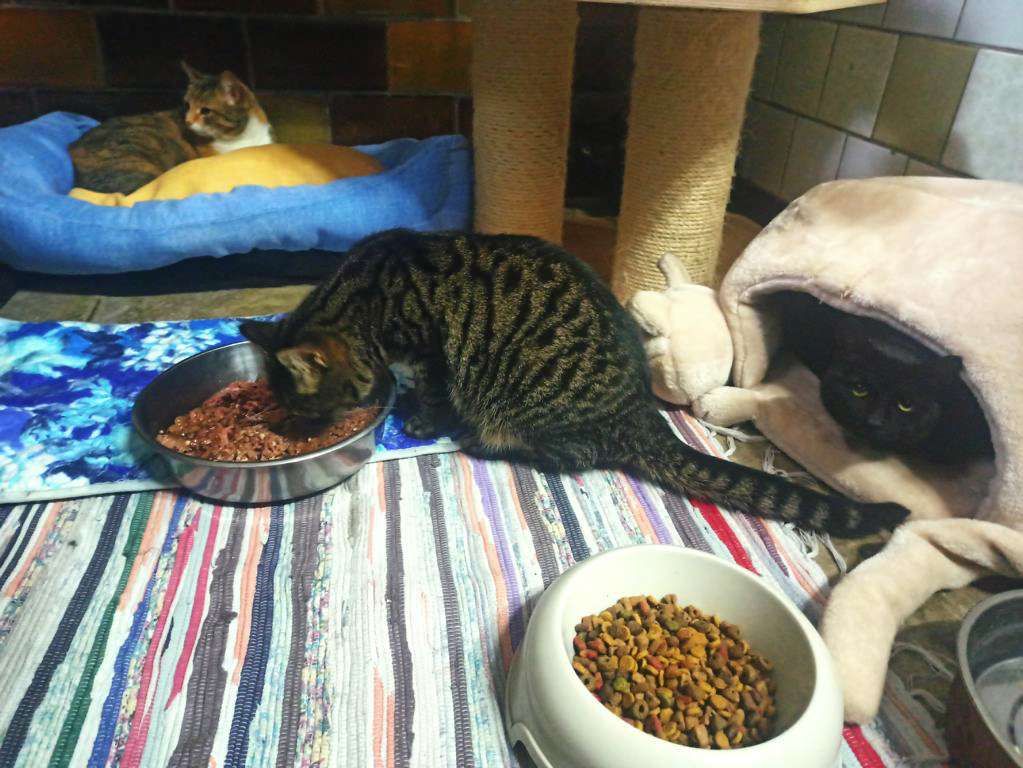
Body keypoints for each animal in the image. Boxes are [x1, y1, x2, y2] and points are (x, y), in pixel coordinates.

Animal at [239, 230, 909, 536]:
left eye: (307, 414)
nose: (299, 431)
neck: (366, 296)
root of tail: (640, 411)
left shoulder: (430, 352)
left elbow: (430, 392)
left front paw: (421, 419)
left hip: (528, 408)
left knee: (571, 454)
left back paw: (485, 441)